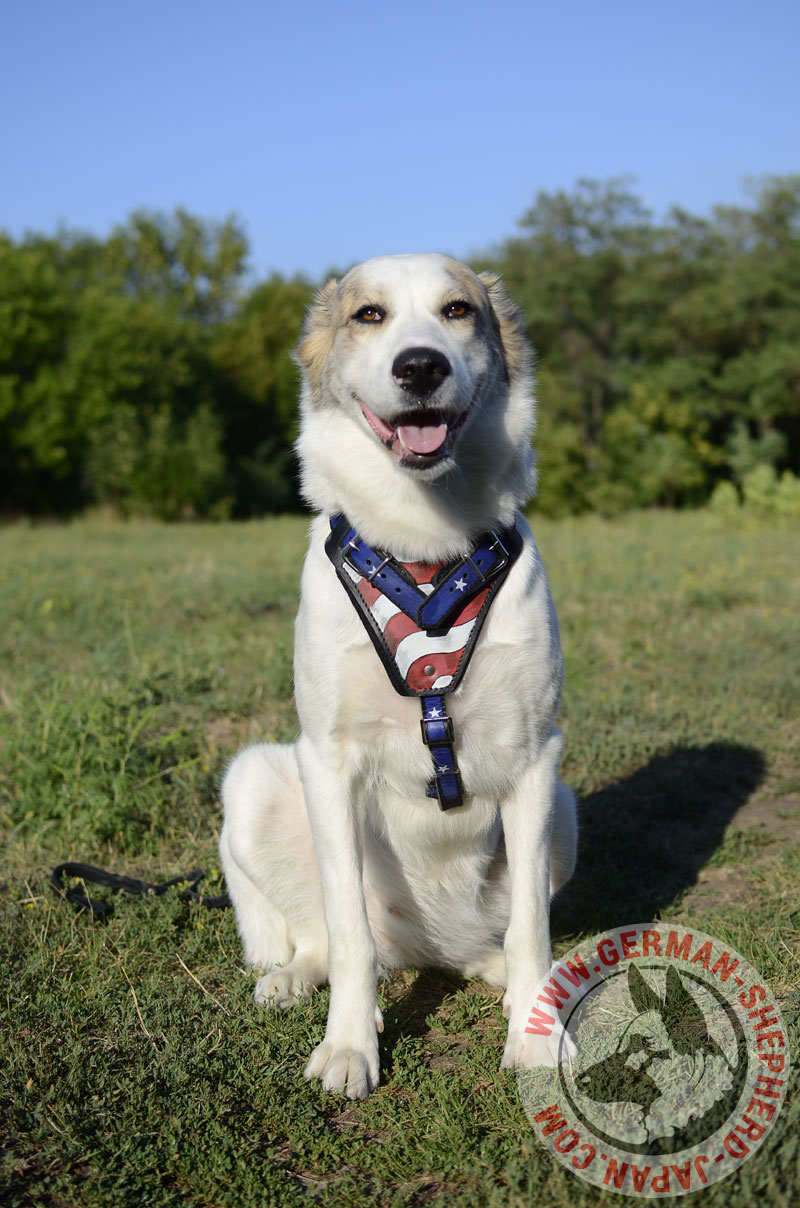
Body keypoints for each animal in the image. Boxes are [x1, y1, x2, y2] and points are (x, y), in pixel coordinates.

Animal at [221, 252, 577, 1096]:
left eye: (457, 311)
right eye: (369, 316)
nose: (420, 367)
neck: (423, 542)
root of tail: (428, 952)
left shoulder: (537, 761)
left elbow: (533, 930)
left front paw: (535, 1033)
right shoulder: (327, 760)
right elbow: (348, 930)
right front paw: (350, 1046)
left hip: (565, 814)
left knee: (499, 941)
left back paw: (504, 978)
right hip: (253, 781)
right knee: (328, 935)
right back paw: (293, 978)